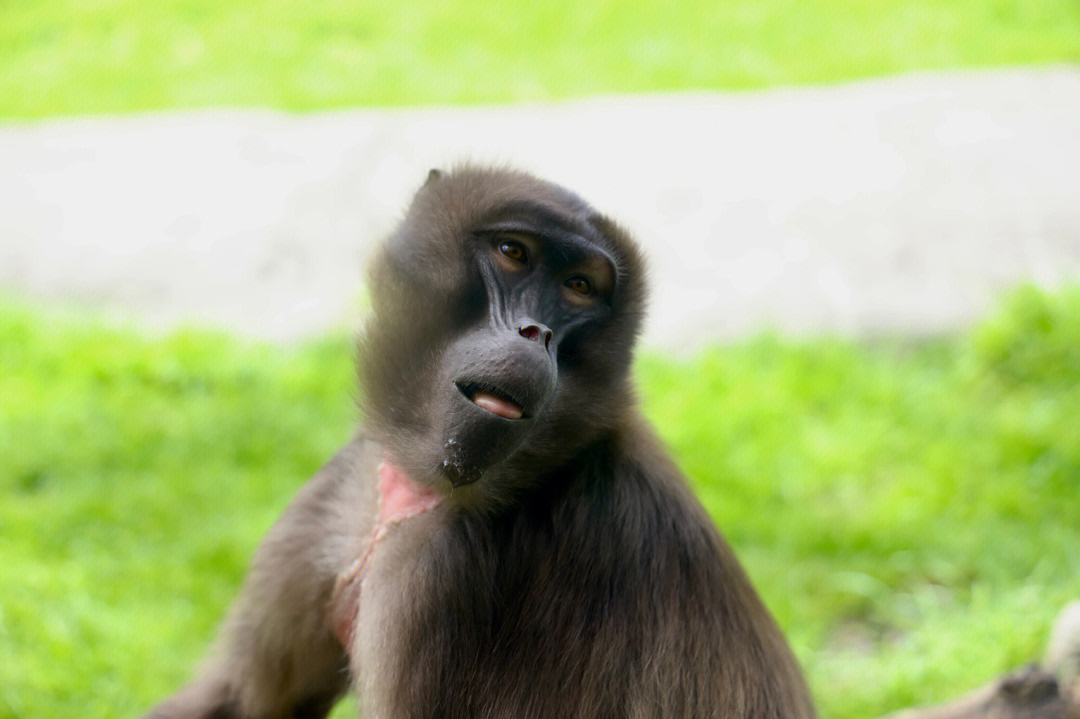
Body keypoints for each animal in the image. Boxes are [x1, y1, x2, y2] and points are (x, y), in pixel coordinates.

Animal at [145, 165, 816, 712]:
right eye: (513, 252)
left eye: (578, 287)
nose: (535, 332)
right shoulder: (346, 485)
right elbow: (242, 701)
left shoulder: (444, 586)